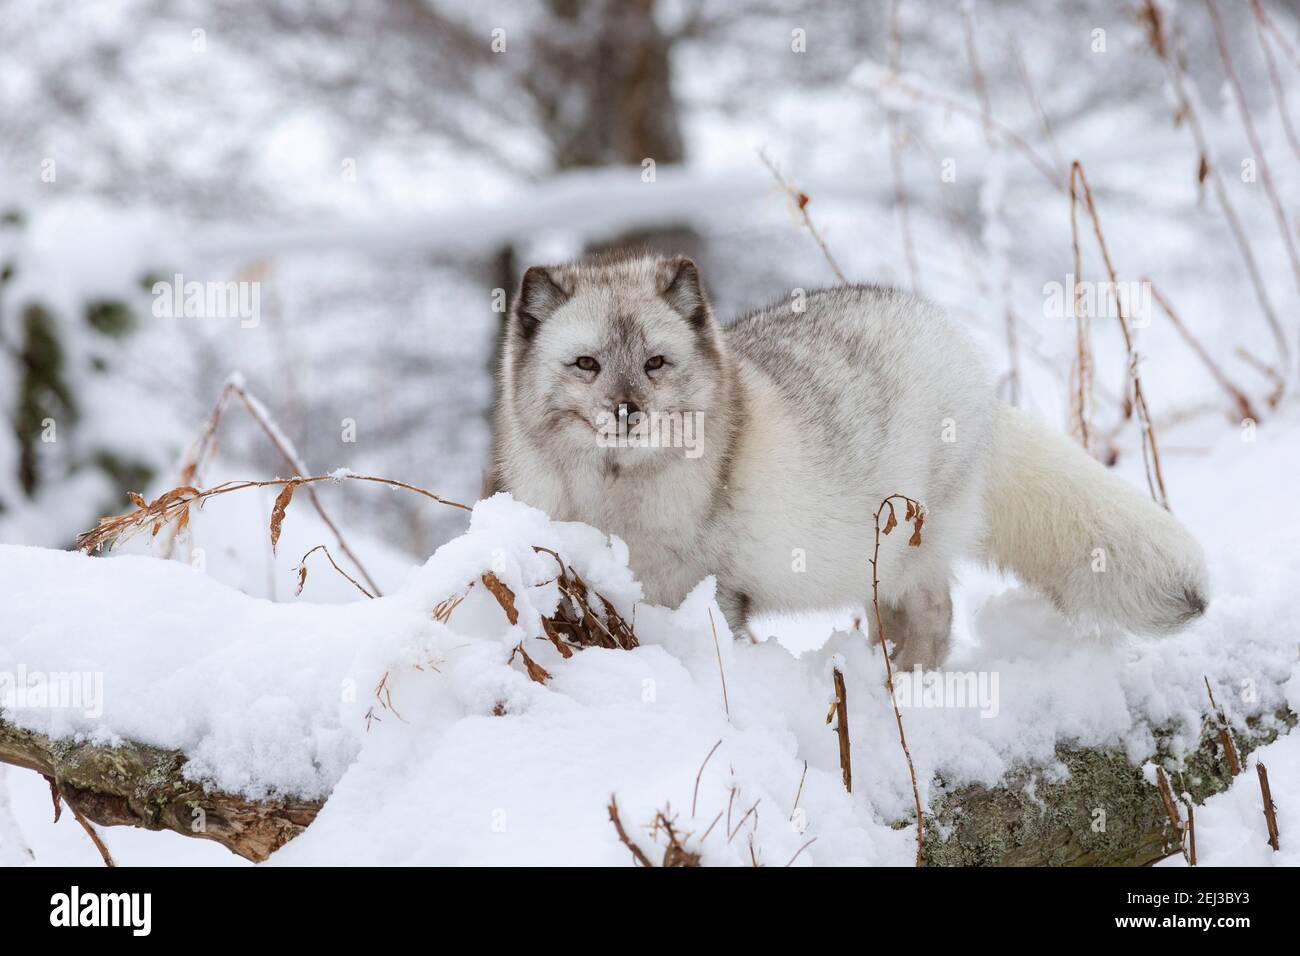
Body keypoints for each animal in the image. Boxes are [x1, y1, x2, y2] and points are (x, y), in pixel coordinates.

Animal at [488, 254, 1206, 671]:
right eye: (586, 363)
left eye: (655, 363)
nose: (628, 412)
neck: (614, 496)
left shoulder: (715, 593)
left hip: (909, 545)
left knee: (938, 615)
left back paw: (906, 684)